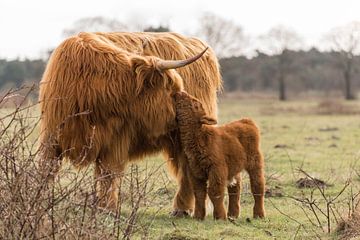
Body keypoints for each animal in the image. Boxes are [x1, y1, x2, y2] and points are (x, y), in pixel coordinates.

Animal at [38, 31, 221, 215]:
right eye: (172, 90)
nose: (192, 106)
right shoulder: (51, 135)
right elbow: (47, 169)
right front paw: (41, 203)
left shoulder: (115, 139)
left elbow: (108, 173)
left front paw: (107, 209)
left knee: (188, 167)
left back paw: (181, 209)